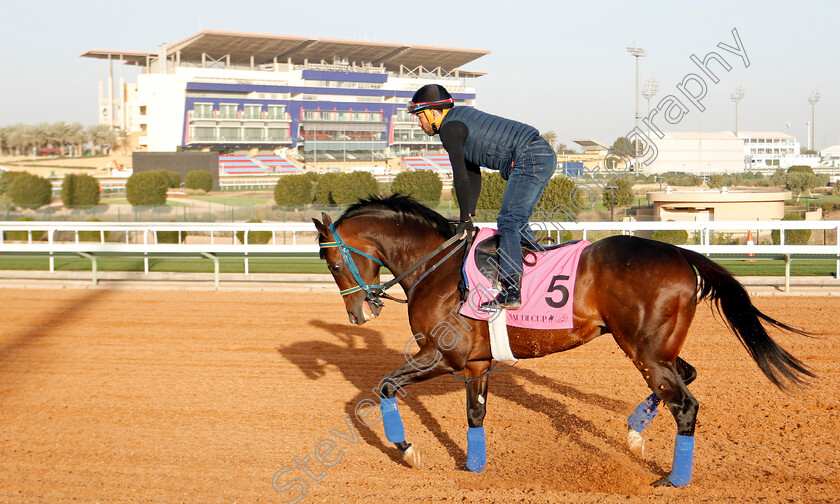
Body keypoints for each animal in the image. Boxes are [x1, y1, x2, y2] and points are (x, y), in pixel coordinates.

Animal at [312, 194, 812, 488]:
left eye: (332, 262)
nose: (358, 313)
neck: (435, 266)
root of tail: (681, 254)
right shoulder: (475, 364)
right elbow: (475, 414)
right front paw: (473, 468)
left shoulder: (441, 355)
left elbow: (384, 386)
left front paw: (408, 450)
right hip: (657, 348)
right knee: (685, 376)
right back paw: (634, 433)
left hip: (644, 350)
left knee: (685, 404)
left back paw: (673, 479)